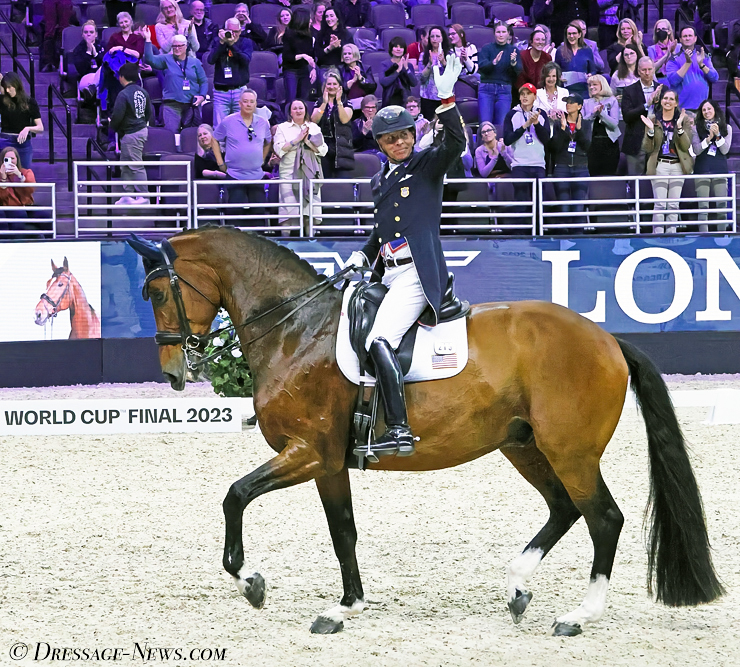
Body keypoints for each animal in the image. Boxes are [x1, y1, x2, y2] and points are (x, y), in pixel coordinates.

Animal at [127, 228, 724, 636]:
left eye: (156, 292)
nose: (174, 373)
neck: (298, 330)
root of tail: (606, 339)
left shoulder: (308, 453)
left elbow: (235, 495)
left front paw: (250, 581)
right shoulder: (329, 463)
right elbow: (343, 532)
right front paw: (345, 607)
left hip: (570, 450)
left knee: (604, 518)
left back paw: (579, 614)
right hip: (524, 445)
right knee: (564, 508)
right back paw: (517, 586)